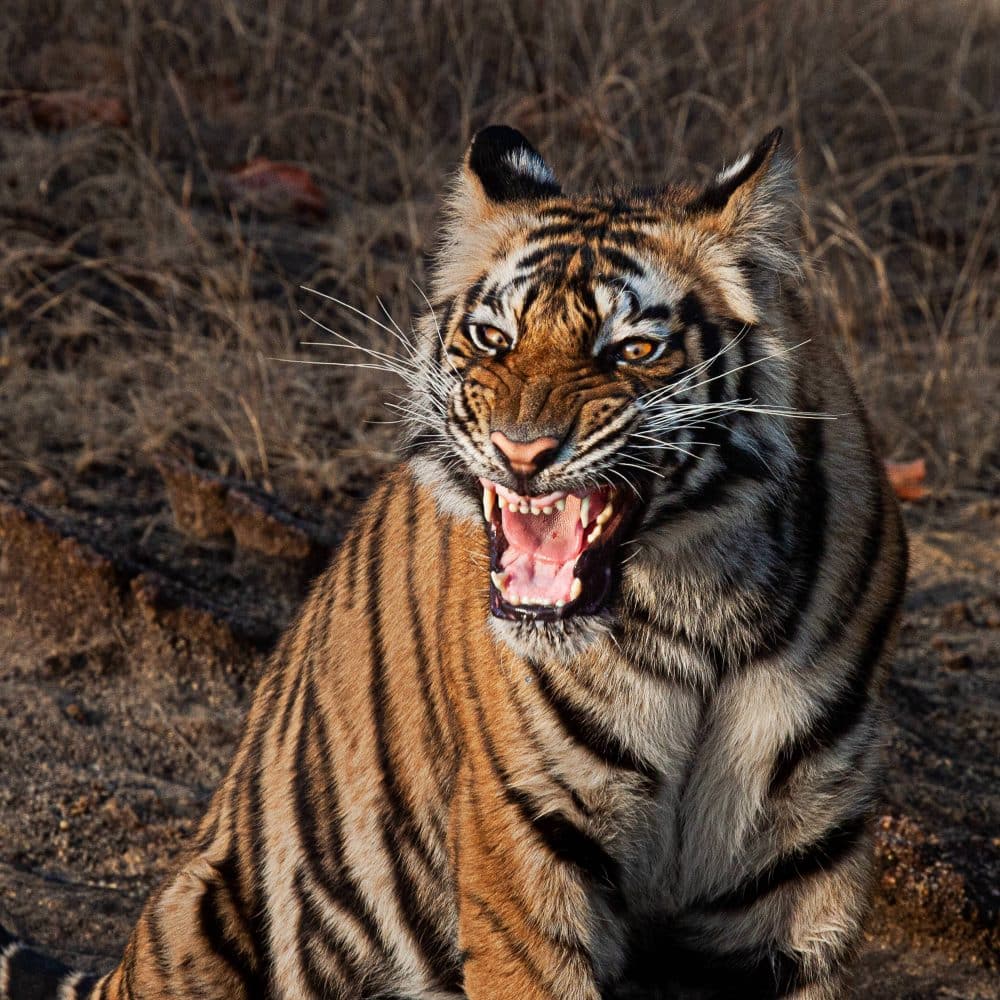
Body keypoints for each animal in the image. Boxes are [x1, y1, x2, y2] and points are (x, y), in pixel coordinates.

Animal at [0, 124, 907, 1000]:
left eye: (633, 350)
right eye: (492, 338)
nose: (522, 450)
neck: (701, 612)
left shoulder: (799, 881)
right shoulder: (527, 850)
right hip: (202, 903)